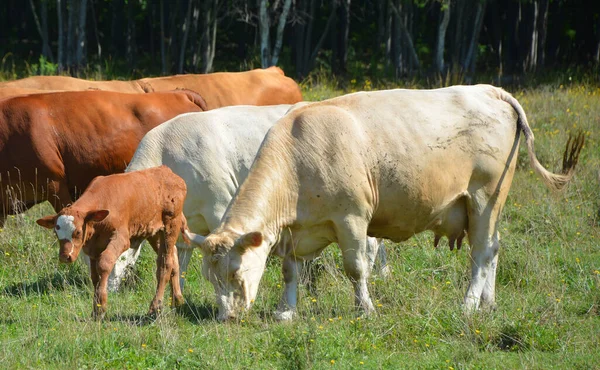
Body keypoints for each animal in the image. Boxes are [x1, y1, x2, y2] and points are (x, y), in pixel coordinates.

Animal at [35, 166, 190, 320]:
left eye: (78, 232)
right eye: (56, 233)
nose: (65, 256)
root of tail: (167, 172)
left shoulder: (121, 238)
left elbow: (104, 263)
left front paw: (101, 307)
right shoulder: (93, 247)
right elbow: (94, 276)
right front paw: (96, 308)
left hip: (171, 224)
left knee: (165, 264)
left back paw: (156, 307)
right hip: (154, 231)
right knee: (173, 257)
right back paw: (178, 299)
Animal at [186, 84, 580, 320]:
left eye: (235, 273)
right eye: (209, 276)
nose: (226, 317)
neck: (297, 157)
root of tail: (490, 90)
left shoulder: (352, 219)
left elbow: (356, 268)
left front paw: (365, 309)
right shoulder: (298, 230)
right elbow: (290, 270)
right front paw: (286, 311)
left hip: (485, 197)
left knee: (481, 252)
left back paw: (468, 305)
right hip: (486, 208)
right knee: (494, 248)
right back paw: (488, 302)